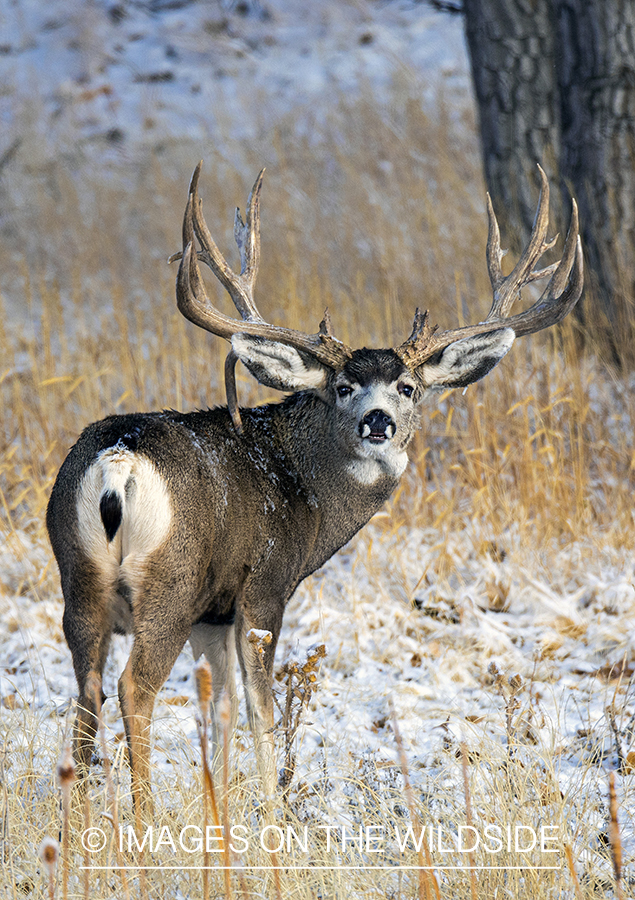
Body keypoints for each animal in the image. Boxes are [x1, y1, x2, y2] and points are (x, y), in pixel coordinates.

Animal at [47, 158, 584, 804]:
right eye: (344, 387)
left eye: (408, 388)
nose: (377, 421)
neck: (302, 484)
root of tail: (119, 462)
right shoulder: (263, 587)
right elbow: (261, 711)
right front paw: (269, 809)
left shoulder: (214, 613)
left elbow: (220, 708)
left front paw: (220, 804)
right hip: (169, 583)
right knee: (133, 689)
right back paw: (143, 813)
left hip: (79, 578)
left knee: (87, 691)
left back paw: (80, 815)